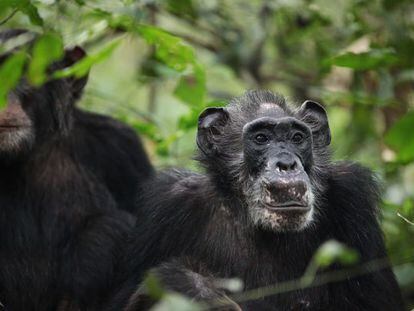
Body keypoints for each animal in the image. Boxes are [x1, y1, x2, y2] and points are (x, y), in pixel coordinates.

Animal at [107, 91, 404, 311]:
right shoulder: (167, 205)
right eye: (261, 138)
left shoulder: (353, 199)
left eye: (297, 138)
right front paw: (192, 287)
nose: (286, 163)